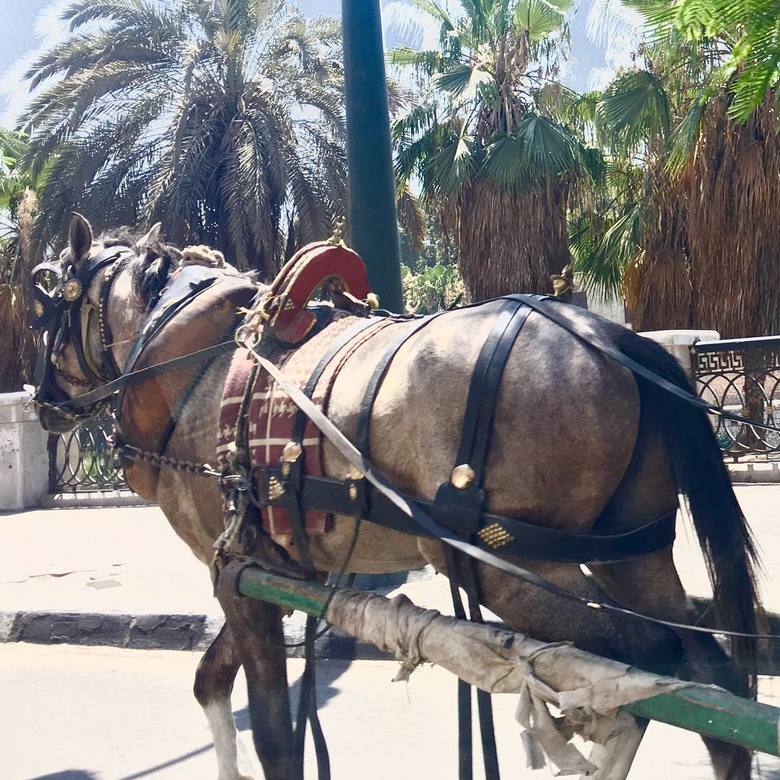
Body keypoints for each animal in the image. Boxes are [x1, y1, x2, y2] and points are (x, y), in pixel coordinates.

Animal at [30, 213, 762, 780]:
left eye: (44, 312)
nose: (42, 404)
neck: (196, 362)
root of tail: (613, 337)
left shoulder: (240, 574)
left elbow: (271, 731)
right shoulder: (272, 570)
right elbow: (211, 679)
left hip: (513, 570)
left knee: (646, 667)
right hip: (631, 554)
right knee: (708, 679)